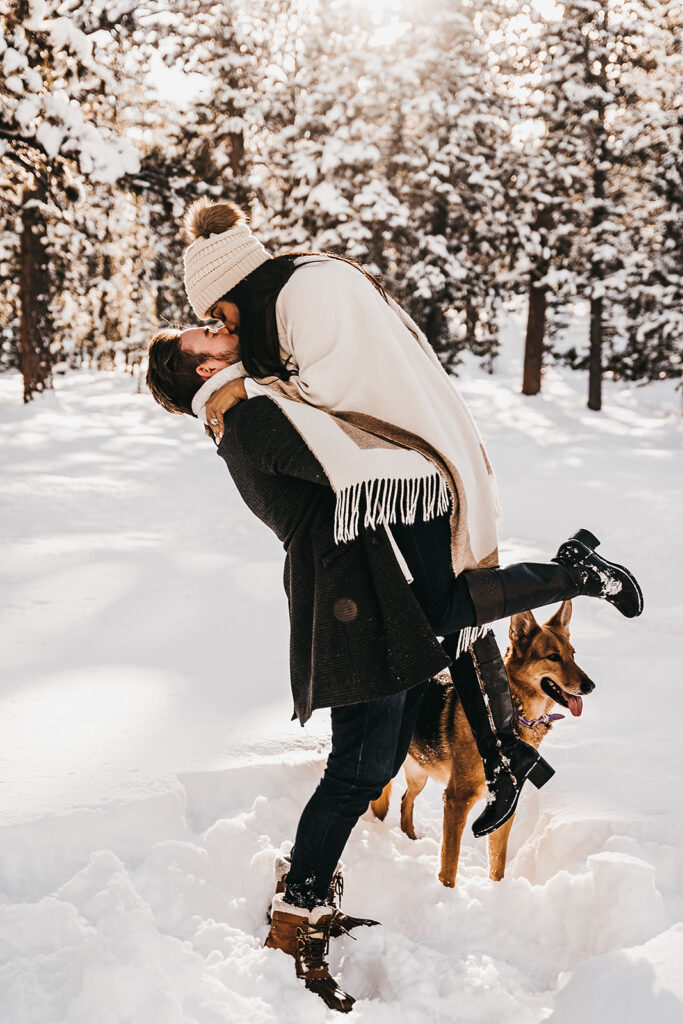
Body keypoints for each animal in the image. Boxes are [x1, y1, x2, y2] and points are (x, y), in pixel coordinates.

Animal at [370, 602, 593, 884]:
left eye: (572, 654)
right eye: (553, 657)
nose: (590, 685)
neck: (506, 721)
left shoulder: (503, 808)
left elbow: (497, 862)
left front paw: (498, 891)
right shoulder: (457, 799)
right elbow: (450, 861)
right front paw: (447, 890)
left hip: (419, 773)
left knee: (404, 801)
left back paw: (410, 839)